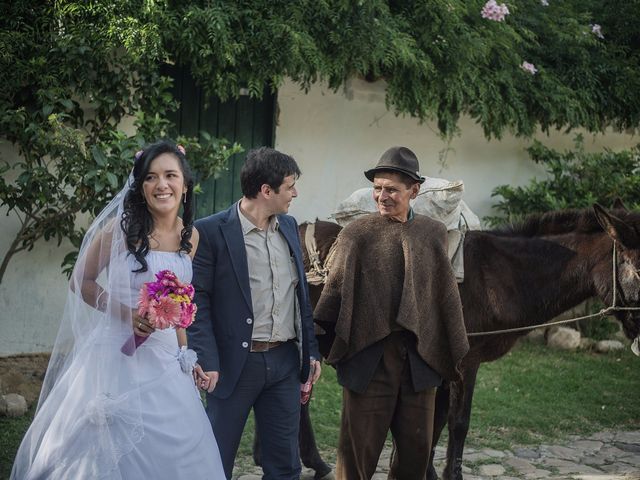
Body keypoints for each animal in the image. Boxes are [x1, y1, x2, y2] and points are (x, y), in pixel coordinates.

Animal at [298, 206, 640, 480]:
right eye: (637, 268)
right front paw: (450, 474)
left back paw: (313, 462)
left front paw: (426, 471)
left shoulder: (441, 364)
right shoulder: (466, 362)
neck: (499, 277)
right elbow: (458, 423)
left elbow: (434, 424)